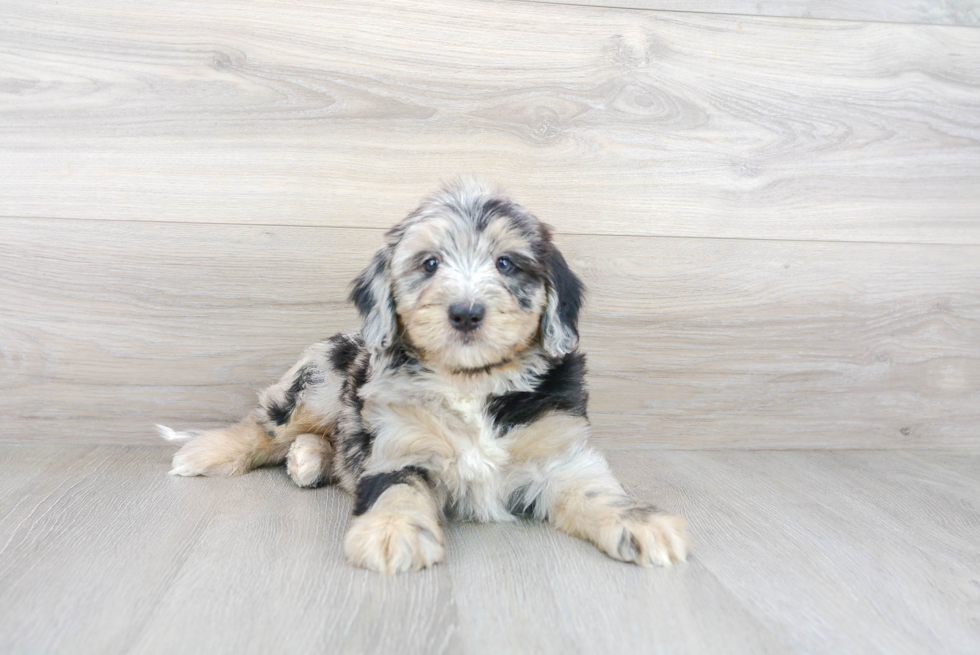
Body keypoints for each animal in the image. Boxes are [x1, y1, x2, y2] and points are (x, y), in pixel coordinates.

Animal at [159, 179, 688, 576]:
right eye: (430, 263)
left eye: (506, 263)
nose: (466, 312)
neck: (471, 383)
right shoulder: (399, 448)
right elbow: (397, 493)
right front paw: (391, 532)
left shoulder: (560, 455)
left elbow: (598, 492)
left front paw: (644, 524)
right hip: (322, 376)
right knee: (268, 425)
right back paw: (209, 451)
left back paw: (308, 459)